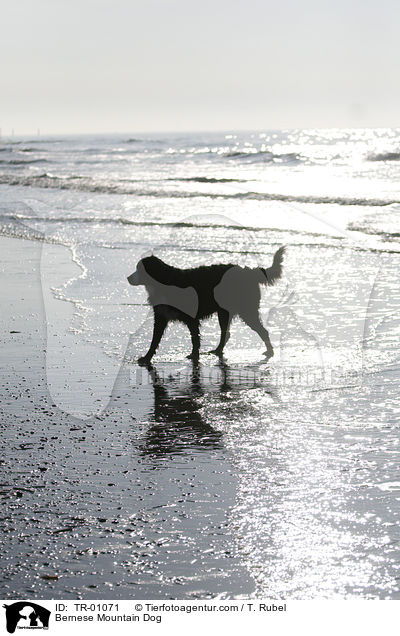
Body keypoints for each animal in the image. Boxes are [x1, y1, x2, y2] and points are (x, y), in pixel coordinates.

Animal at [127, 246, 284, 366]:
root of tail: (249, 271)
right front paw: (147, 358)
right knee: (226, 333)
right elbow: (154, 341)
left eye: (139, 269)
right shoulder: (160, 317)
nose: (128, 278)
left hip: (246, 310)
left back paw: (269, 351)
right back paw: (218, 350)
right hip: (224, 312)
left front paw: (194, 356)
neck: (164, 282)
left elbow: (195, 340)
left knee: (262, 331)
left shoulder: (191, 319)